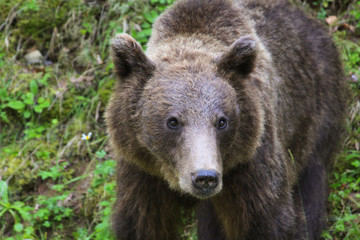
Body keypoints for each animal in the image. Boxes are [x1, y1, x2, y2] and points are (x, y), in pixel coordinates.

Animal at [105, 0, 348, 240]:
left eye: (222, 121)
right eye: (172, 121)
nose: (205, 177)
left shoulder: (251, 162)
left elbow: (268, 221)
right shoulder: (142, 168)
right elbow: (142, 223)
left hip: (315, 111)